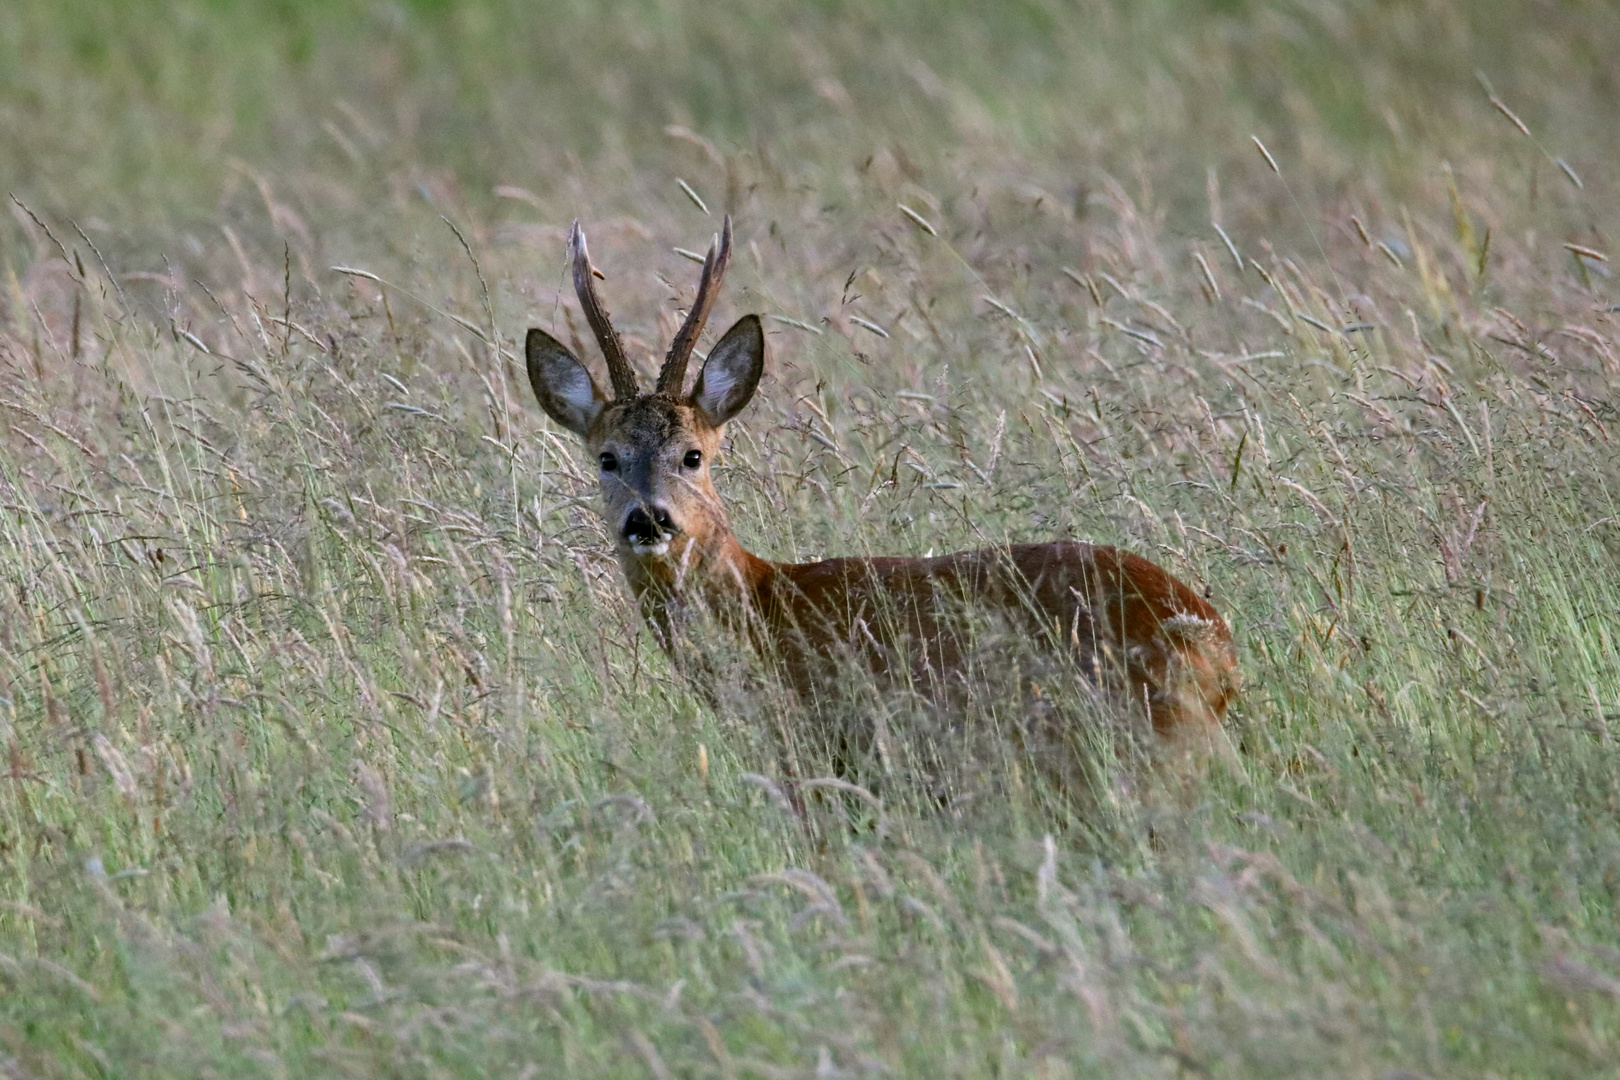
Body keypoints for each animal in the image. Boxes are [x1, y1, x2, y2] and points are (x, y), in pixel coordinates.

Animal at [524, 220, 1231, 777]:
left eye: (692, 455)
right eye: (607, 459)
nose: (648, 518)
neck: (764, 607)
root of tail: (1218, 644)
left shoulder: (824, 751)